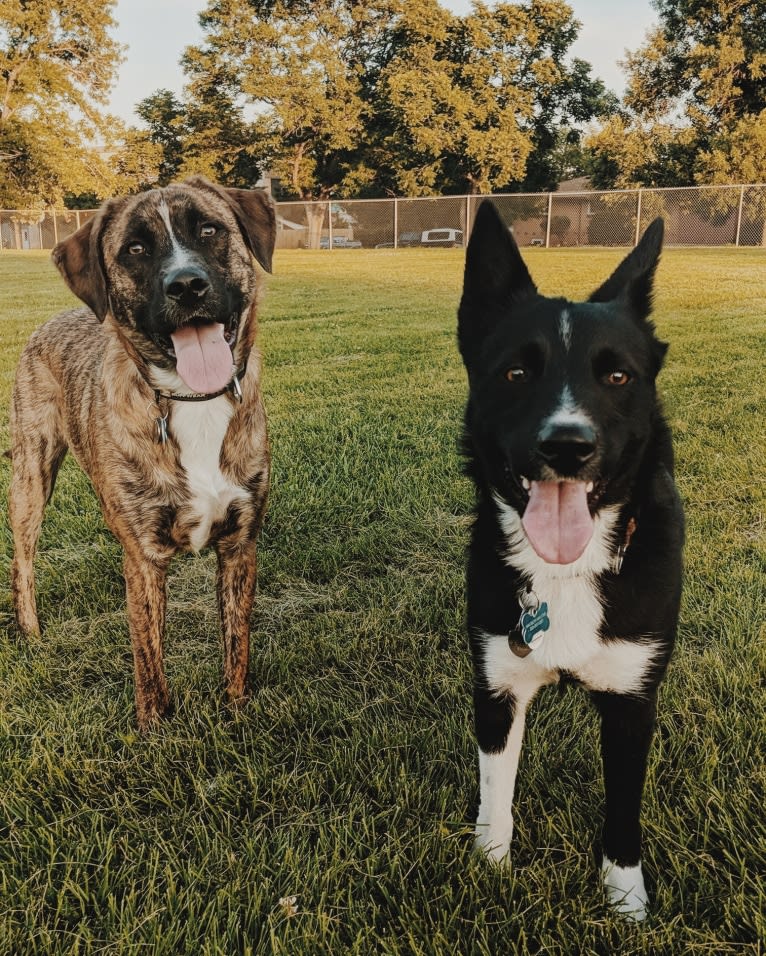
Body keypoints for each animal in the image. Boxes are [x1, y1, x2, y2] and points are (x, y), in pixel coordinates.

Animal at [8, 176, 276, 728]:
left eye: (210, 230)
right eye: (134, 249)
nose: (187, 285)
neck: (192, 399)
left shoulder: (240, 545)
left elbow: (236, 643)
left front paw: (237, 711)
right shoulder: (145, 560)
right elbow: (148, 657)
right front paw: (154, 729)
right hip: (29, 478)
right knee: (23, 563)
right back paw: (31, 634)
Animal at [460, 200, 688, 920]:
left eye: (617, 376)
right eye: (515, 373)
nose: (566, 445)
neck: (566, 570)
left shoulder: (632, 701)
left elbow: (624, 811)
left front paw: (627, 902)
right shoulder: (496, 687)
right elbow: (496, 793)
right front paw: (489, 869)